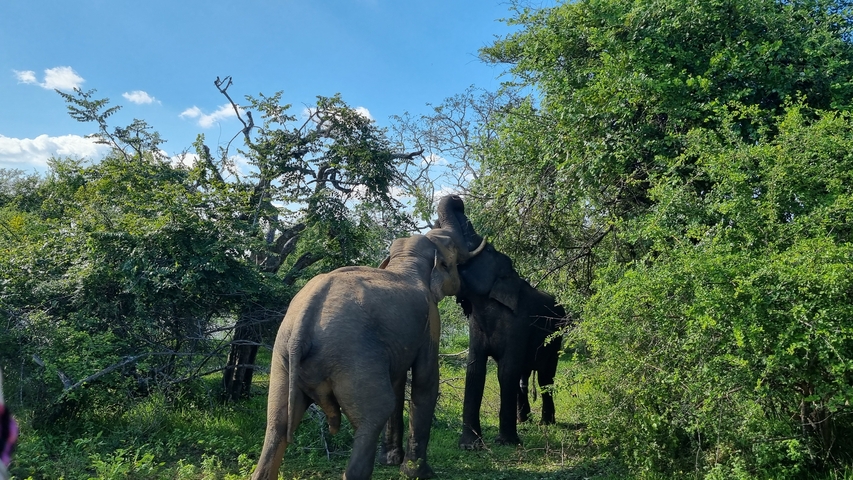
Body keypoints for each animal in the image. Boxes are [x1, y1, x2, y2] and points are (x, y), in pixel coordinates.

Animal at [251, 229, 485, 480]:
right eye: (453, 258)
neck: (405, 262)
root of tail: (305, 318)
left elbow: (398, 382)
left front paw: (391, 462)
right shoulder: (431, 321)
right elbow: (425, 381)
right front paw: (419, 474)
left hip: (283, 356)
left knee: (277, 422)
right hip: (352, 357)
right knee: (376, 412)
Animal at [433, 195, 568, 448]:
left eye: (487, 249)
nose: (456, 199)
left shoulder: (518, 324)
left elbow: (506, 371)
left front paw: (506, 442)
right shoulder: (475, 326)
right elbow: (475, 371)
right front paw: (469, 446)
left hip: (557, 338)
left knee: (545, 377)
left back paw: (546, 423)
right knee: (524, 378)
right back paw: (524, 420)